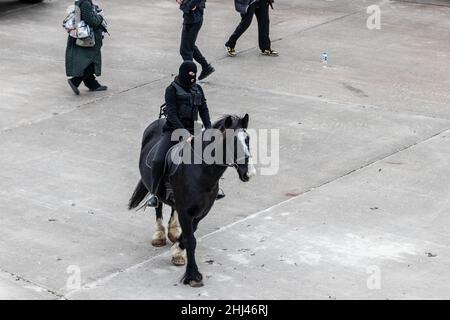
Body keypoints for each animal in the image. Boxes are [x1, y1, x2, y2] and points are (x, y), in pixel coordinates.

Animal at [128, 114, 255, 286]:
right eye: (232, 141)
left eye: (247, 139)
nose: (249, 173)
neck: (201, 171)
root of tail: (160, 120)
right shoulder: (185, 211)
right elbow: (190, 240)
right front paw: (193, 275)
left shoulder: (202, 211)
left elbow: (191, 233)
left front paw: (177, 250)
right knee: (158, 205)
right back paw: (159, 235)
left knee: (171, 207)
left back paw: (173, 231)